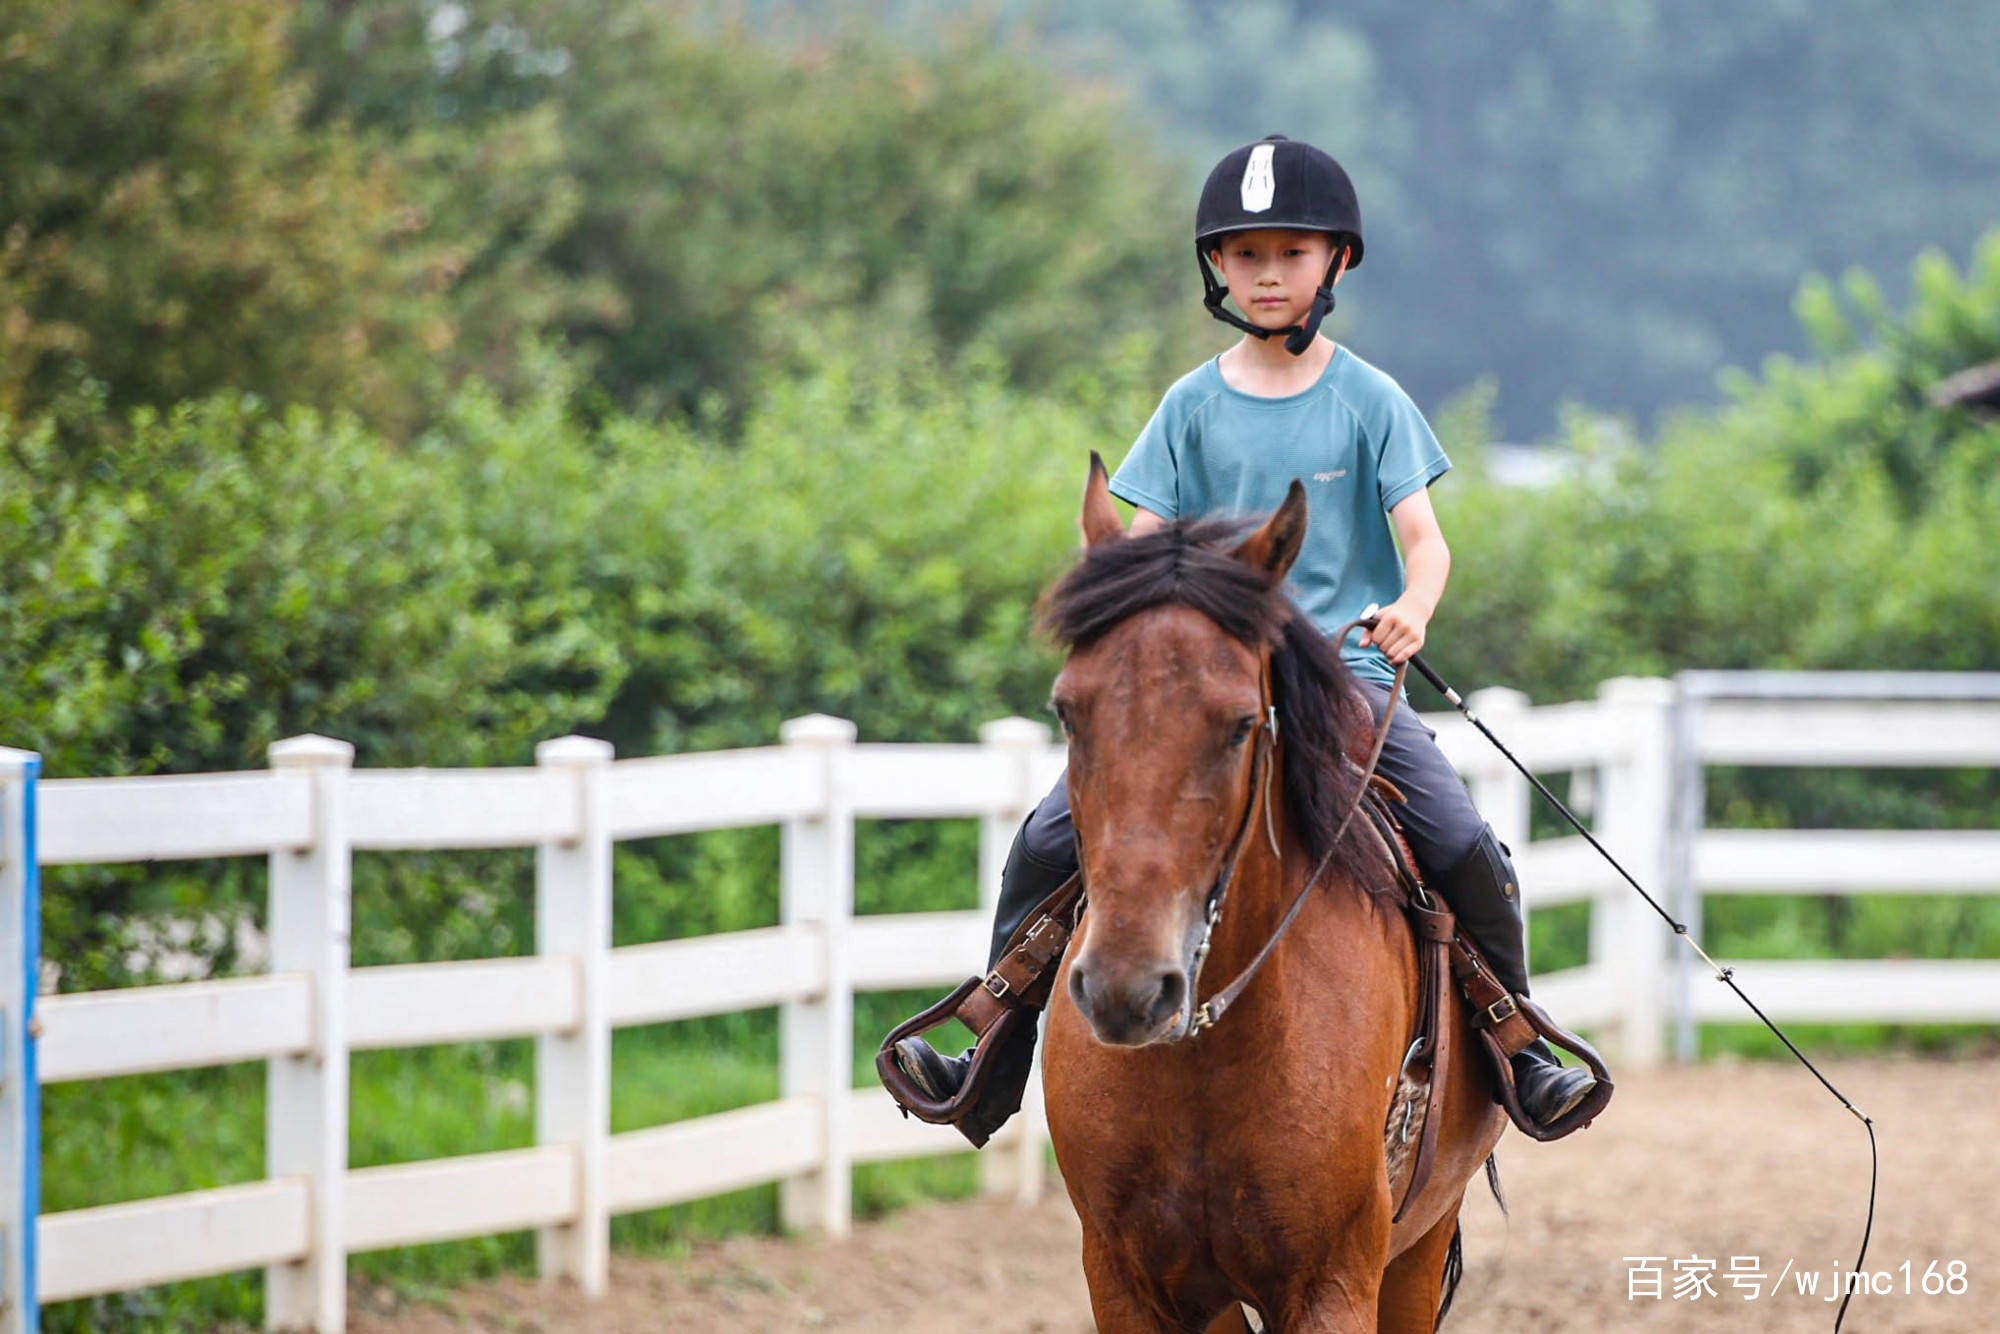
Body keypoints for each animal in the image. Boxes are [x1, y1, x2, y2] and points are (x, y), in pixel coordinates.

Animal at [1048, 454, 1504, 1328]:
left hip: (1421, 1243)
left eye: (1237, 726)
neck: (1206, 1057)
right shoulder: (1123, 1281)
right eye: (1067, 710)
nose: (1127, 987)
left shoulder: (1333, 1282)